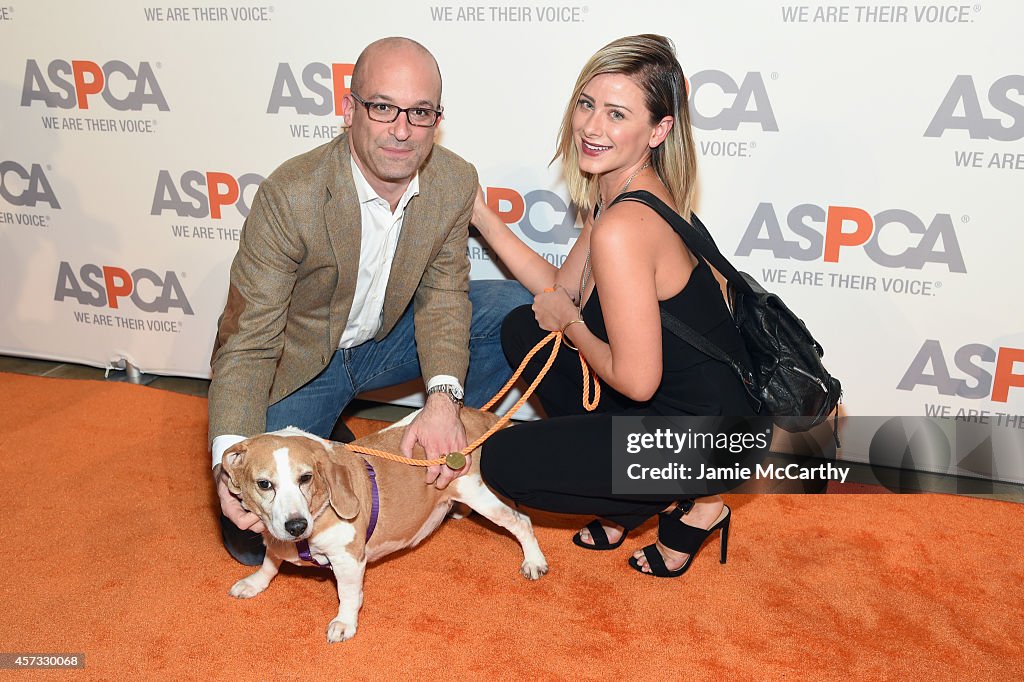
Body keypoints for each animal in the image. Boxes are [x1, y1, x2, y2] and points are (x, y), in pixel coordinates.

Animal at [221, 405, 548, 638]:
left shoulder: (348, 560)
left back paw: (533, 560)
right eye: (264, 484)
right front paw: (255, 583)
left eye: (306, 478)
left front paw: (345, 623)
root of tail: (481, 417)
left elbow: (348, 595)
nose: (296, 526)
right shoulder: (276, 539)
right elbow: (269, 562)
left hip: (481, 495)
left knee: (521, 521)